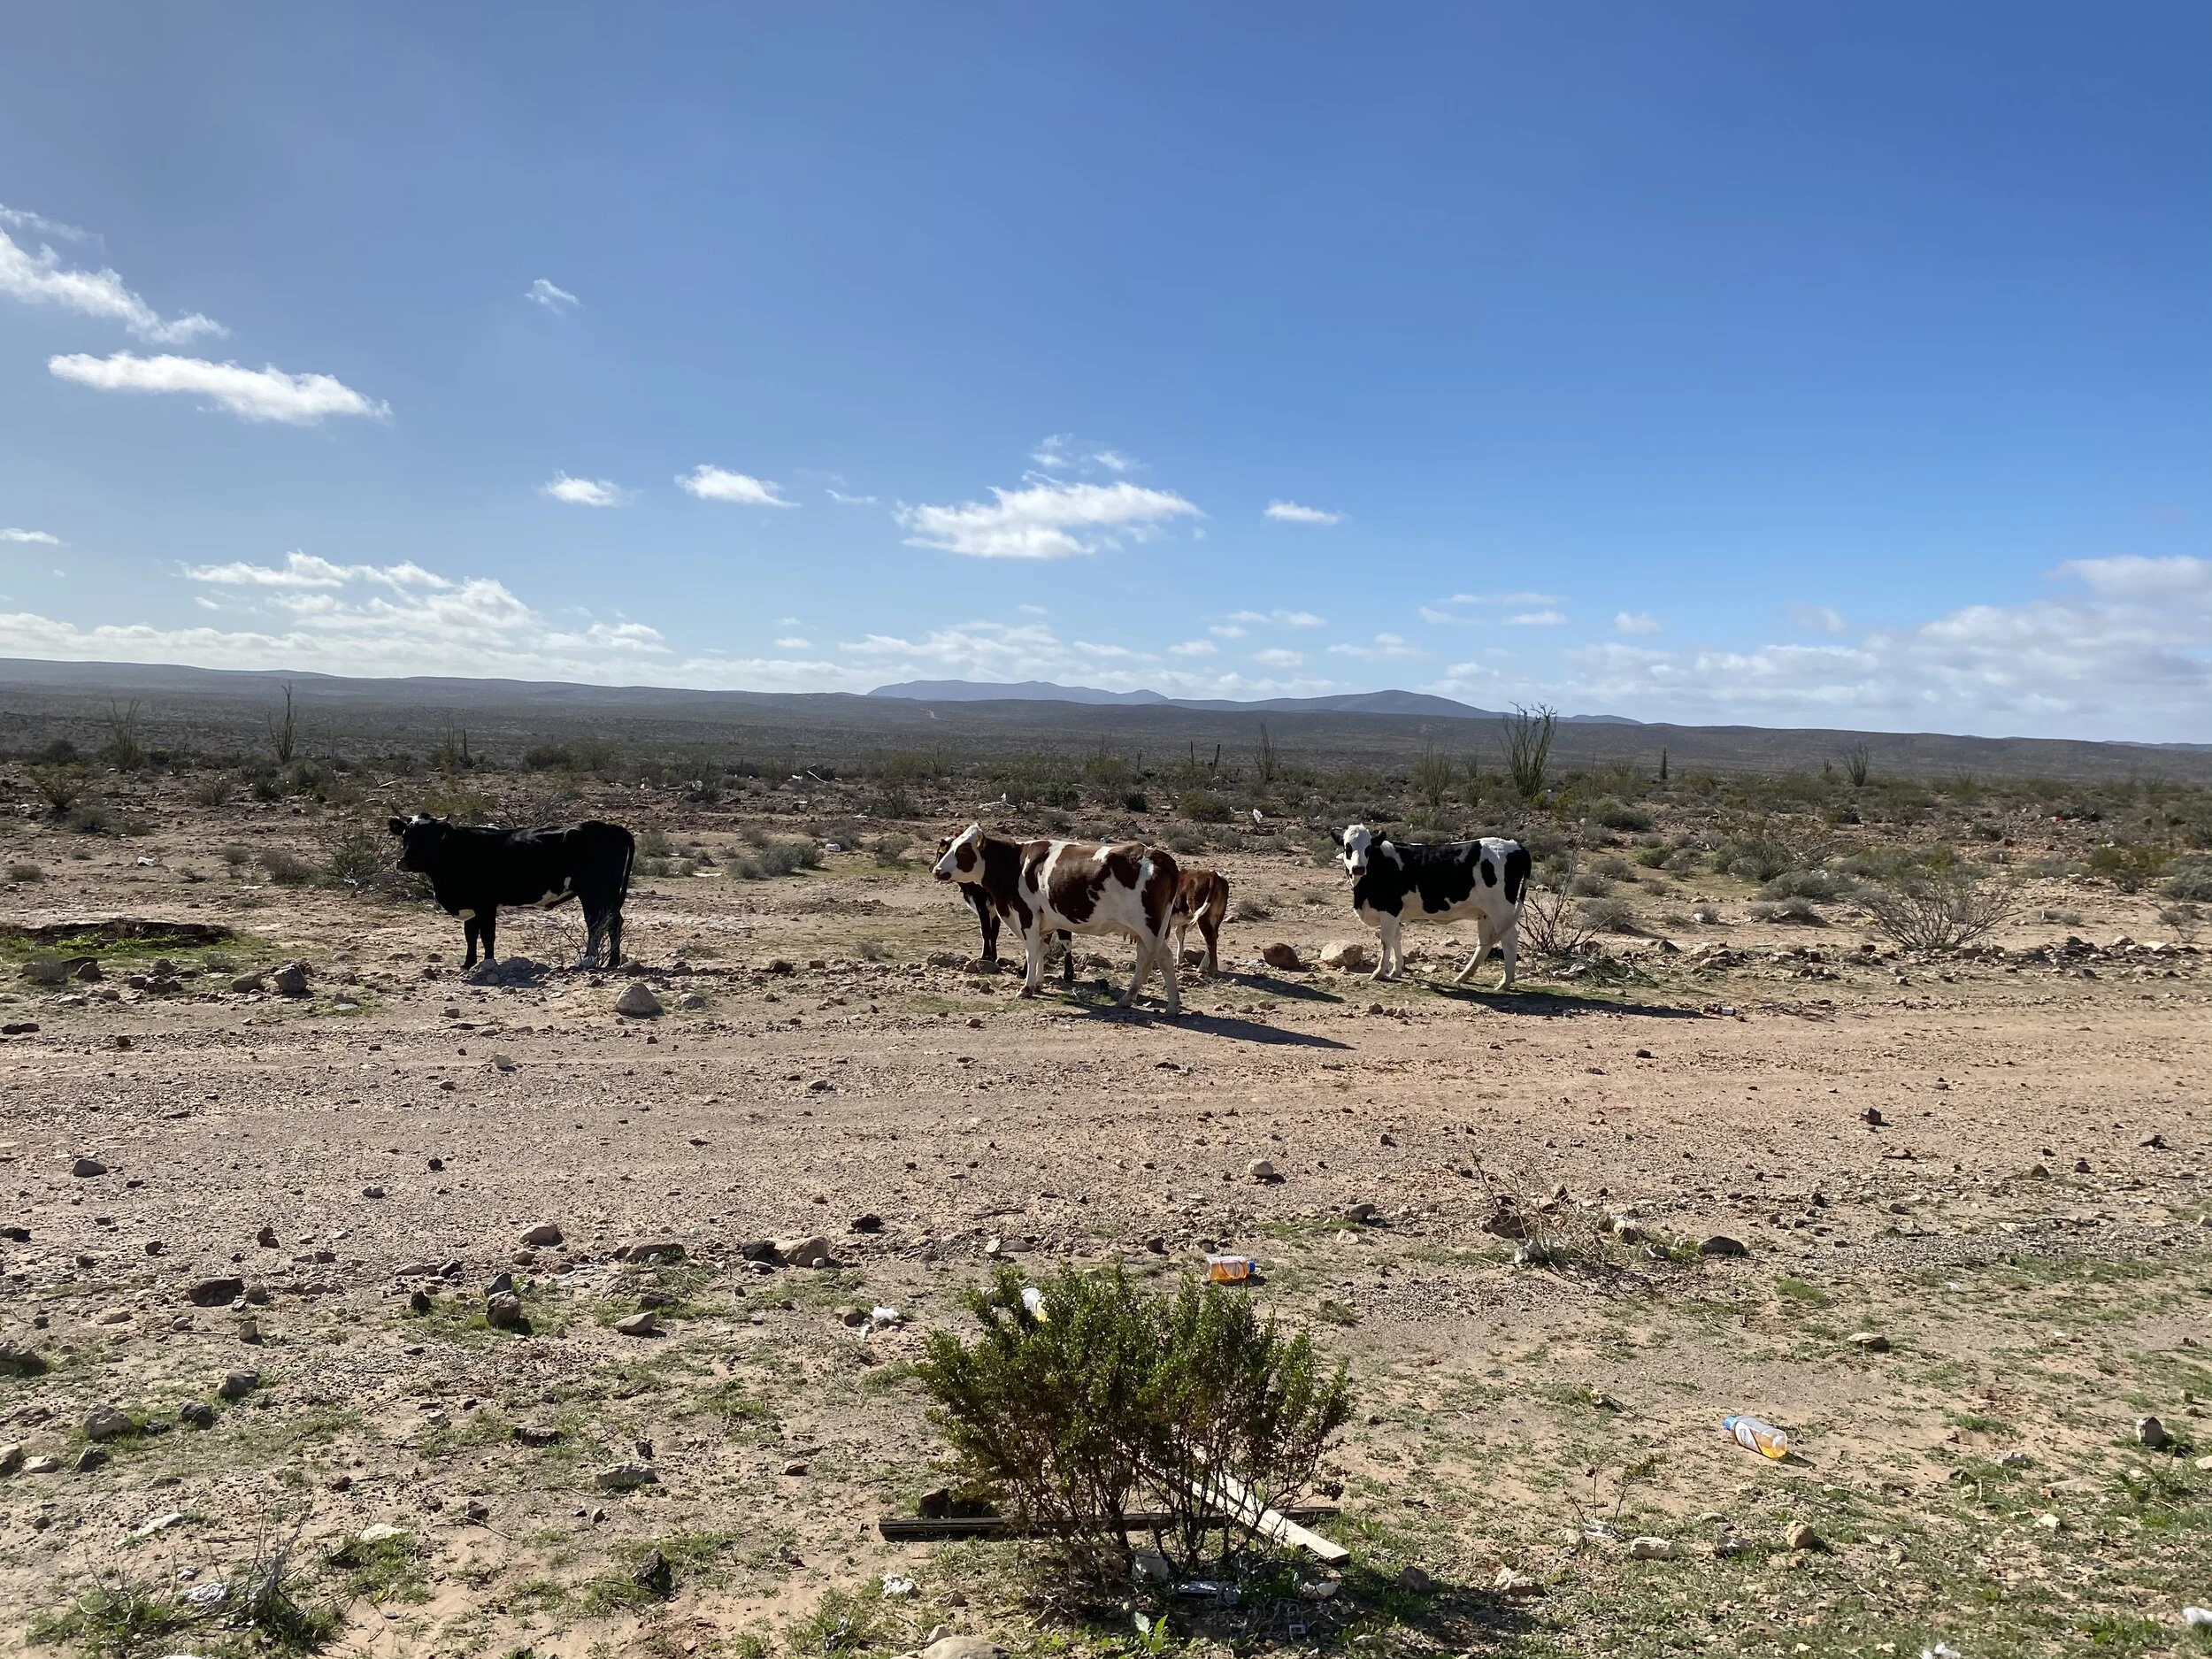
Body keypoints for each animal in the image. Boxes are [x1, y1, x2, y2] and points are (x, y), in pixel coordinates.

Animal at [388, 814, 635, 970]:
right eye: (406, 835)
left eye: (428, 836)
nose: (404, 862)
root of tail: (614, 828)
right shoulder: (471, 905)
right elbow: (470, 934)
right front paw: (467, 964)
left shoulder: (486, 904)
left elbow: (487, 935)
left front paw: (489, 963)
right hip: (608, 893)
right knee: (614, 922)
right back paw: (613, 962)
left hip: (595, 891)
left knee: (596, 923)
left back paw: (588, 961)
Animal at [933, 824, 1182, 1014]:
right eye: (948, 848)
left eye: (963, 850)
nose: (936, 870)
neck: (1015, 865)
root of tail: (1154, 853)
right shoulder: (1045, 921)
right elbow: (1041, 949)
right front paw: (1038, 983)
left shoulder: (1027, 914)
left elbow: (1031, 951)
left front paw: (1026, 988)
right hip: (1147, 930)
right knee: (1149, 958)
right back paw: (1137, 1000)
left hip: (1149, 927)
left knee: (1162, 958)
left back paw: (1168, 1005)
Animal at [1333, 823, 1530, 988]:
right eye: (1347, 847)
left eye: (1368, 849)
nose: (1358, 868)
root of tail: (1515, 846)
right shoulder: (1395, 912)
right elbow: (1397, 938)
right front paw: (1396, 970)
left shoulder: (1390, 909)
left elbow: (1386, 940)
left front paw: (1379, 972)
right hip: (1485, 913)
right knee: (1485, 942)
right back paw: (1464, 976)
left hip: (1501, 911)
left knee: (1509, 939)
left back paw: (1504, 983)